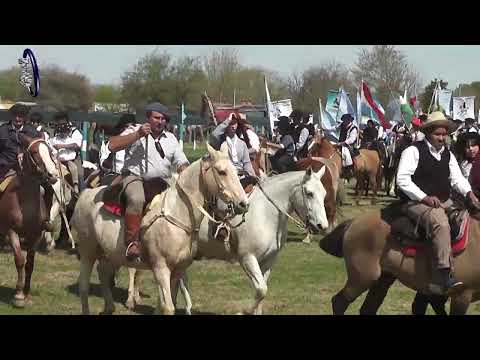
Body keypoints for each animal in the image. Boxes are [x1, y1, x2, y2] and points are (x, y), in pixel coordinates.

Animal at [0, 136, 59, 308]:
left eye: (49, 150)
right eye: (34, 152)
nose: (52, 174)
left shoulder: (36, 234)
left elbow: (30, 263)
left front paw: (26, 292)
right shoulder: (11, 232)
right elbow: (20, 260)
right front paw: (19, 295)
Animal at [73, 143, 249, 316]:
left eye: (236, 171)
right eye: (221, 171)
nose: (243, 204)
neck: (178, 214)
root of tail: (86, 193)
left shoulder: (178, 270)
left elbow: (168, 302)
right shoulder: (161, 268)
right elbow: (169, 307)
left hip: (109, 253)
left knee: (103, 272)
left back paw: (109, 308)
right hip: (88, 250)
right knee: (83, 285)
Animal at [127, 167, 330, 316]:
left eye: (324, 193)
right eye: (309, 193)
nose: (322, 225)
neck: (266, 211)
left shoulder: (268, 262)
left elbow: (262, 293)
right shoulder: (247, 258)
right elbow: (260, 290)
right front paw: (243, 311)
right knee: (136, 270)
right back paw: (132, 300)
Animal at [318, 205, 480, 316]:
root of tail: (354, 222)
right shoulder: (461, 296)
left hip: (382, 279)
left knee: (367, 308)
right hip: (362, 278)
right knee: (339, 302)